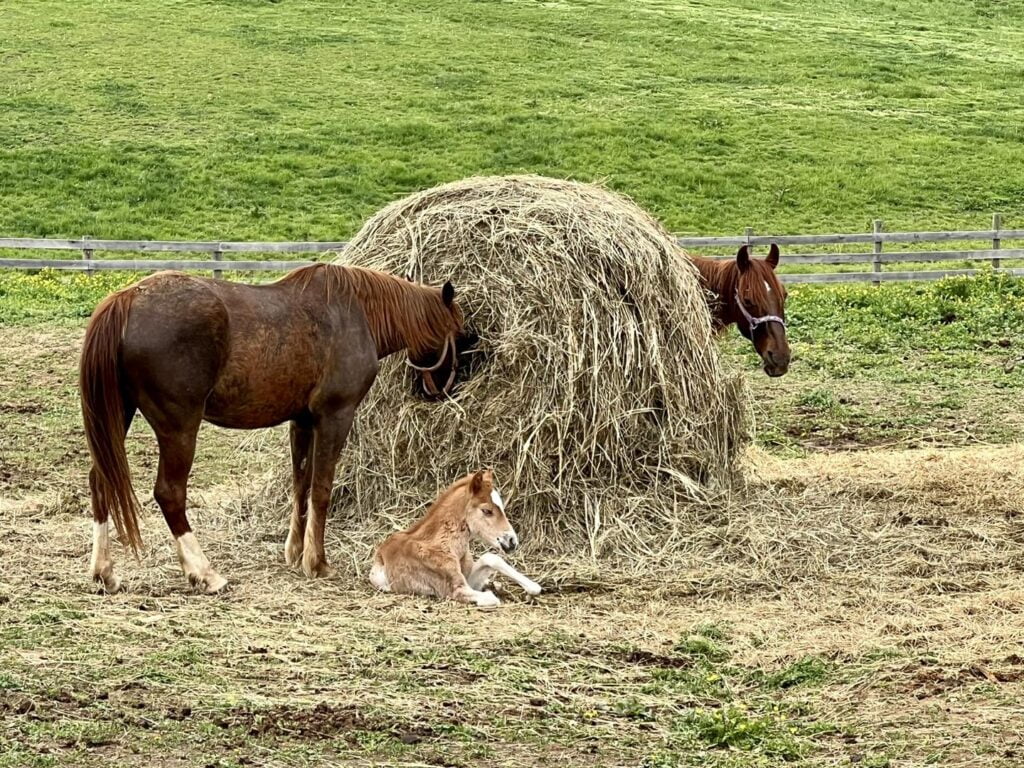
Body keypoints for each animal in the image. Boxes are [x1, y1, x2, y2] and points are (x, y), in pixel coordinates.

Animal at [79, 264, 464, 593]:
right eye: (461, 335)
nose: (443, 390)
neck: (356, 313)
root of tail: (127, 299)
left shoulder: (302, 421)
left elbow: (301, 486)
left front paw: (295, 552)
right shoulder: (335, 417)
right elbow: (321, 489)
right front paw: (317, 562)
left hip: (117, 419)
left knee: (100, 483)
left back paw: (104, 572)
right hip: (179, 427)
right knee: (169, 493)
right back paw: (204, 573)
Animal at [370, 468, 544, 606]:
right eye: (487, 511)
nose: (512, 541)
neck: (445, 545)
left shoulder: (469, 579)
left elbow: (490, 558)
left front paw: (533, 587)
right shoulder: (455, 589)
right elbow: (491, 598)